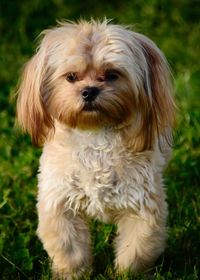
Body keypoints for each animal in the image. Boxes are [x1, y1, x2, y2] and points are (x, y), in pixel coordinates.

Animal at [17, 20, 175, 280]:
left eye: (111, 75)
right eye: (71, 77)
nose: (89, 90)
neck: (95, 135)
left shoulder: (142, 208)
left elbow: (135, 251)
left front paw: (124, 274)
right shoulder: (60, 204)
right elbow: (70, 252)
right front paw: (72, 274)